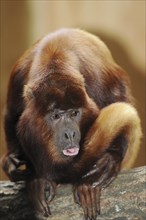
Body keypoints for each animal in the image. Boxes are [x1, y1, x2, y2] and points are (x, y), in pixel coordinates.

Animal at [1, 28, 142, 219]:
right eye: (55, 116)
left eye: (74, 113)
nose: (70, 134)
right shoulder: (18, 79)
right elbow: (11, 115)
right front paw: (33, 175)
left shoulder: (98, 77)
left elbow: (120, 99)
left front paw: (109, 159)